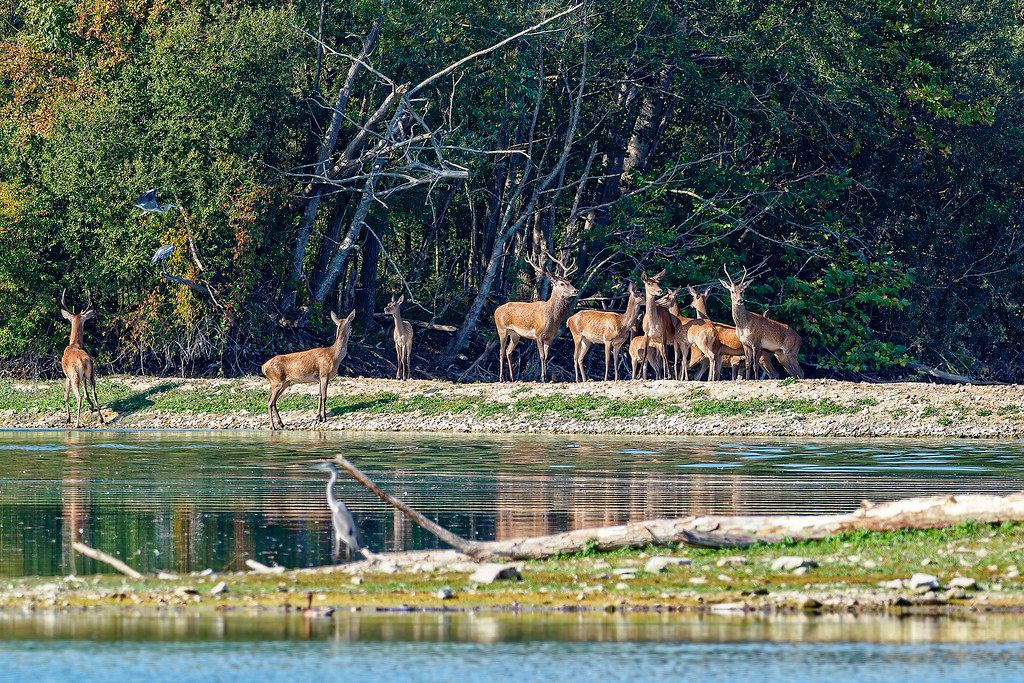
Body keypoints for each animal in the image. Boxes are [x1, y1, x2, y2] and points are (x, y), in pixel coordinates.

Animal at [59, 290, 105, 430]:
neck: (74, 344)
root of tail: (82, 360)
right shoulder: (84, 376)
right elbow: (87, 394)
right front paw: (91, 406)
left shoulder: (67, 376)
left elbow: (66, 396)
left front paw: (68, 418)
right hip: (91, 373)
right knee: (94, 392)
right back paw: (101, 419)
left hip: (74, 376)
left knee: (78, 397)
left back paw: (77, 423)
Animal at [493, 248, 577, 382]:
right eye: (562, 284)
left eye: (569, 281)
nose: (575, 290)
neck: (552, 317)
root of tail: (496, 311)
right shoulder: (538, 333)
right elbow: (542, 356)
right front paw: (542, 377)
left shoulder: (550, 337)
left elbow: (547, 356)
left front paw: (547, 377)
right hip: (501, 329)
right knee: (501, 351)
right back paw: (501, 378)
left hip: (515, 334)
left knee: (508, 351)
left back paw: (512, 377)